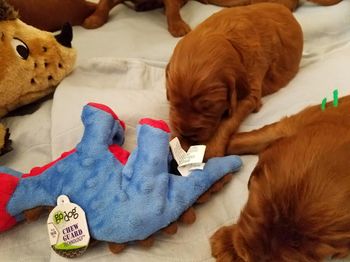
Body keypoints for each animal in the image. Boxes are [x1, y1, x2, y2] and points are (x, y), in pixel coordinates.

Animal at [167, 3, 304, 158]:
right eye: (173, 102)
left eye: (208, 107)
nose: (186, 134)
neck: (228, 38)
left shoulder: (249, 92)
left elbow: (227, 121)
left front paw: (209, 148)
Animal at [211, 95, 350, 260]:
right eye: (262, 210)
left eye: (302, 247)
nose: (257, 259)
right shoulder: (293, 123)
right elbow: (254, 137)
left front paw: (228, 245)